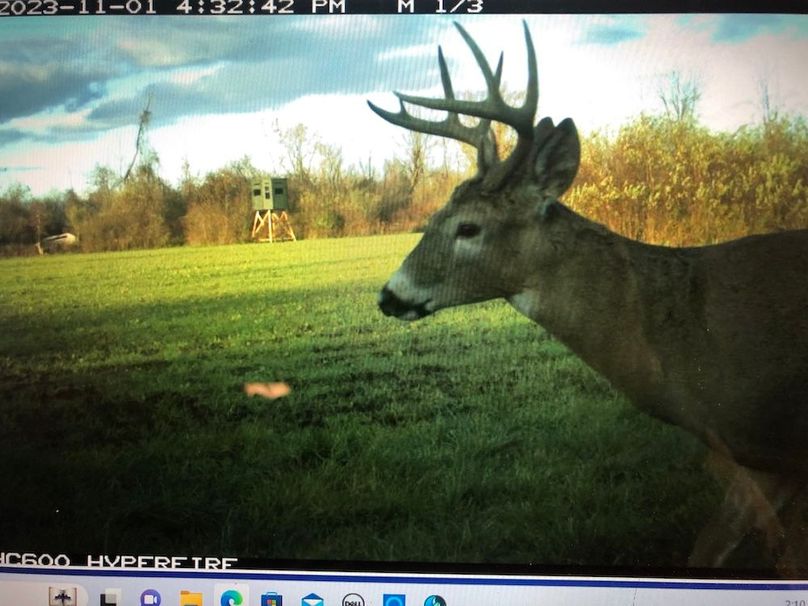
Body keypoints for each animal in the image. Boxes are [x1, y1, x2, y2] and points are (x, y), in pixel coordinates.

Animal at [368, 22, 808, 570]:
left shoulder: (776, 444)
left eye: (468, 227)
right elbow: (712, 548)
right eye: (432, 218)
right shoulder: (757, 456)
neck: (688, 340)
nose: (389, 295)